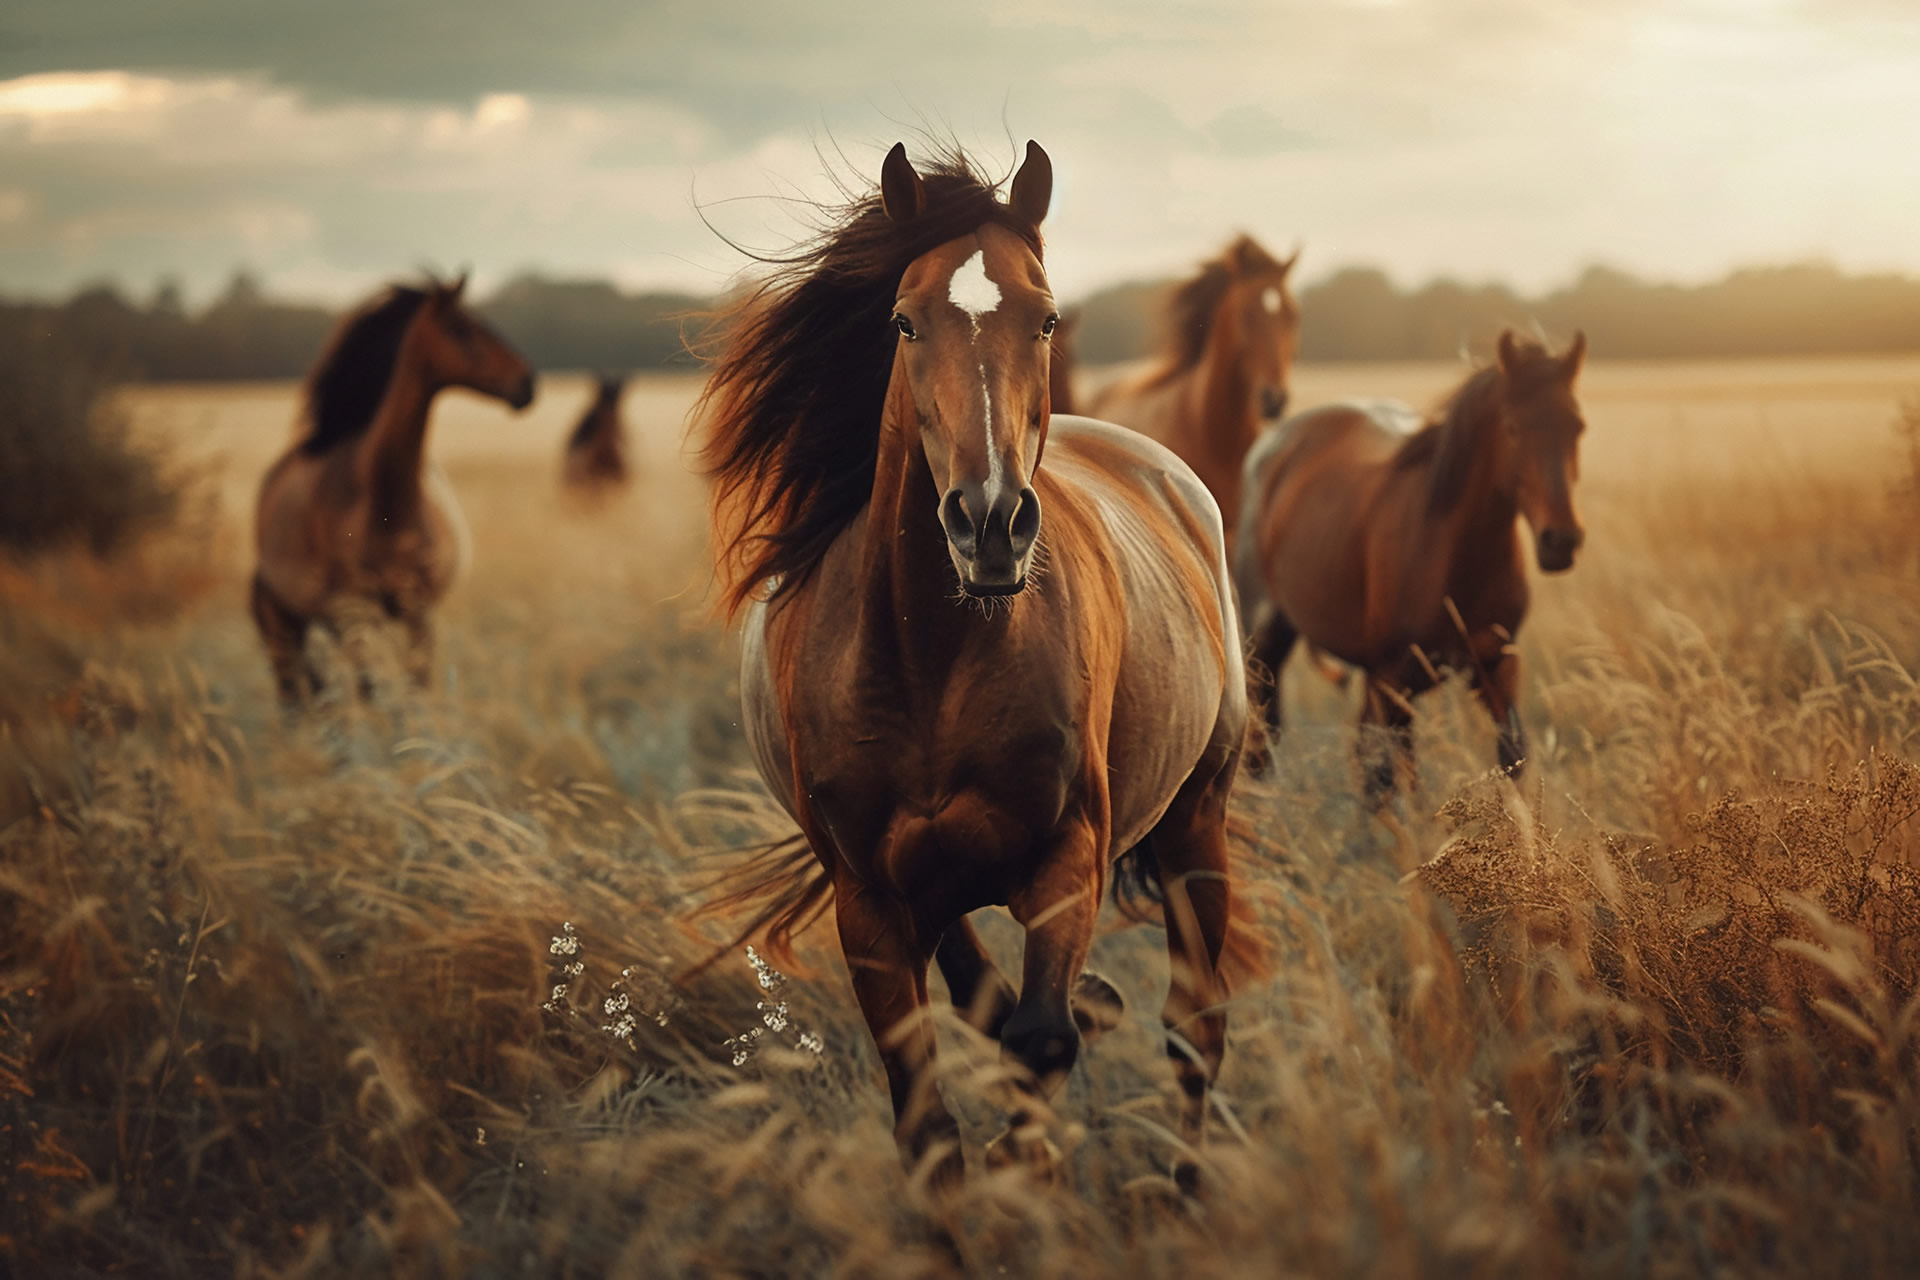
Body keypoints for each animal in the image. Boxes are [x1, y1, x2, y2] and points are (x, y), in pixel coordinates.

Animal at [251, 276, 535, 704]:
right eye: (461, 328)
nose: (528, 382)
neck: (389, 506)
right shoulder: (358, 615)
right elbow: (378, 694)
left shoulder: (419, 615)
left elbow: (415, 691)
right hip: (289, 623)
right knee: (296, 696)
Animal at [696, 141, 1251, 1188]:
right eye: (904, 321)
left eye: (1047, 317)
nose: (990, 524)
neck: (932, 662)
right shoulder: (868, 901)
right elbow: (929, 1120)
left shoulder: (1068, 856)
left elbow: (1041, 1040)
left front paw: (1025, 1162)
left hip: (1197, 814)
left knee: (1194, 1028)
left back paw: (1185, 1186)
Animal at [1234, 330, 1588, 796]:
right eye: (1512, 427)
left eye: (1578, 426)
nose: (1561, 540)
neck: (1452, 555)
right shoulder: (1392, 678)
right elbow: (1389, 778)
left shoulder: (1496, 666)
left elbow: (1512, 757)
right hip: (1269, 639)